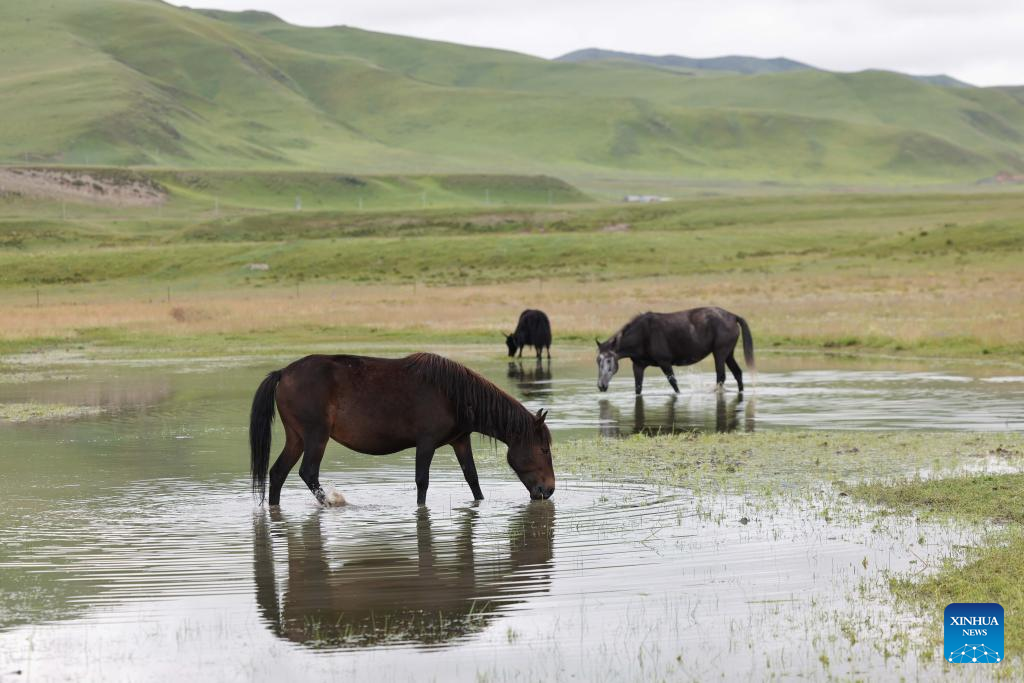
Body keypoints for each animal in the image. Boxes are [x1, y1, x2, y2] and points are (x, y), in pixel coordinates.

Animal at [248, 356, 557, 505]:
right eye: (543, 449)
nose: (549, 490)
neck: (453, 394)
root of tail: (283, 373)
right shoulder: (426, 443)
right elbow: (422, 481)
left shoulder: (460, 441)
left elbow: (472, 479)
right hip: (316, 437)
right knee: (308, 472)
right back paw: (335, 504)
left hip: (297, 438)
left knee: (277, 474)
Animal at [598, 305, 757, 393]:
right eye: (597, 361)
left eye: (608, 360)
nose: (601, 386)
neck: (643, 334)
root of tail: (733, 316)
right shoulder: (638, 366)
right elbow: (638, 388)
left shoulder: (664, 363)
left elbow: (674, 384)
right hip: (728, 354)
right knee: (737, 373)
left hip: (720, 353)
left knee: (721, 377)